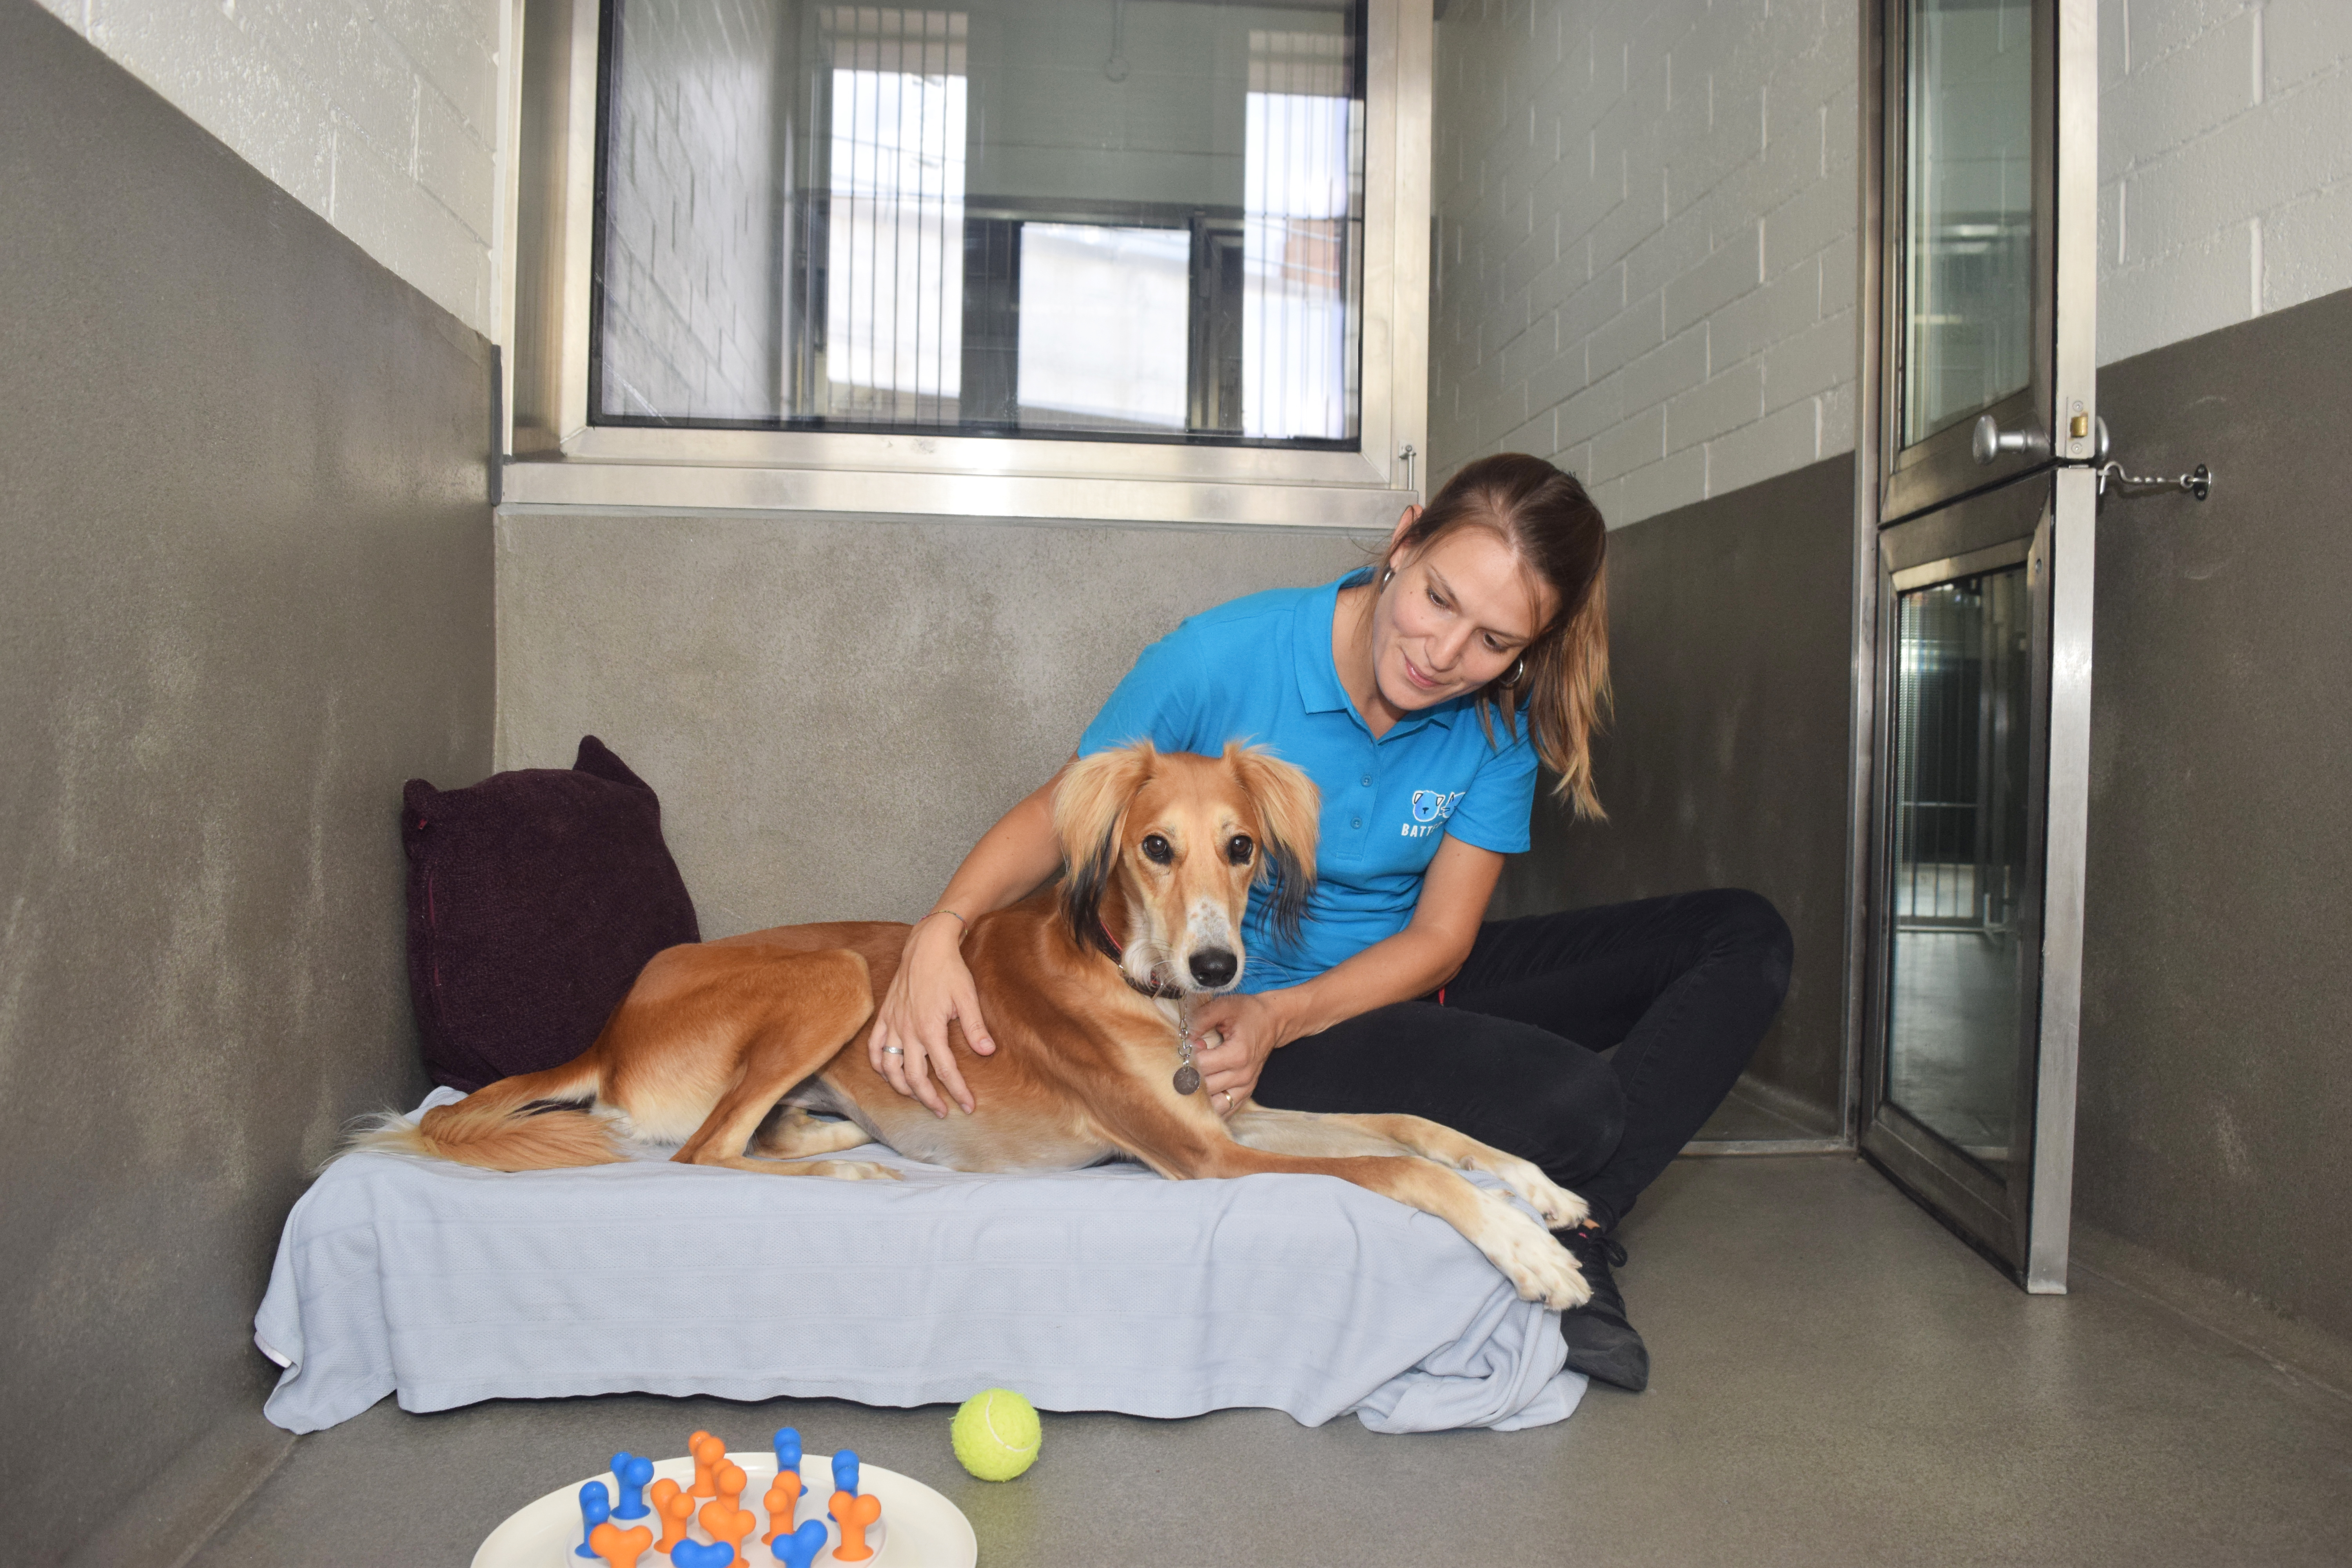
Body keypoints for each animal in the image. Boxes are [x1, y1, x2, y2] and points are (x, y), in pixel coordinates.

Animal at [353, 743, 1599, 1307]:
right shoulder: (1203, 1156)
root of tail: (608, 1033)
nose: (1218, 963)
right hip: (836, 976)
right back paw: (838, 1169)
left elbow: (1415, 1124)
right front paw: (1528, 1252)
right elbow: (1400, 1168)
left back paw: (828, 1133)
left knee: (733, 1138)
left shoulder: (1229, 1120)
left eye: (1241, 846)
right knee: (702, 1154)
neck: (1128, 979)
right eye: (1156, 847)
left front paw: (1538, 1191)